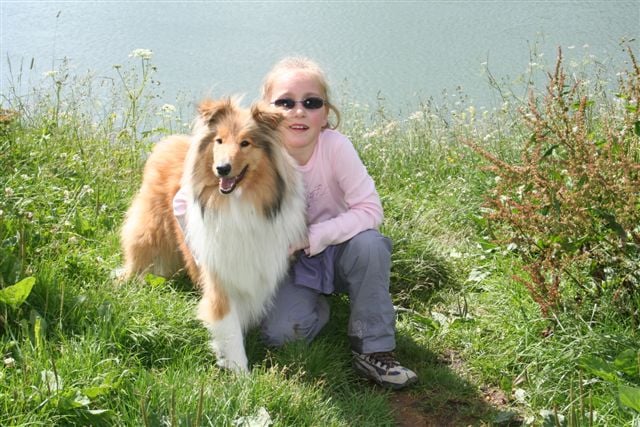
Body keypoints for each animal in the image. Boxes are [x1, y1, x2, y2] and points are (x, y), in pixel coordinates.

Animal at [123, 98, 310, 372]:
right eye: (219, 141)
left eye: (245, 143)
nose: (222, 169)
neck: (238, 204)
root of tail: (169, 142)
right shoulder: (219, 277)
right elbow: (230, 330)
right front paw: (241, 374)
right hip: (149, 239)